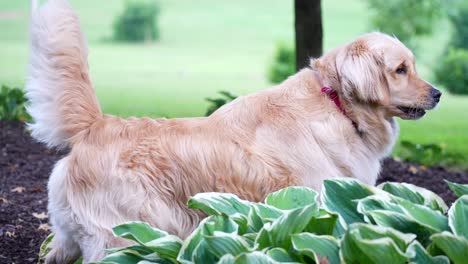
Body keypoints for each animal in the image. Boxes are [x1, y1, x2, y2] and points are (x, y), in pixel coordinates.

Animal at [27, 0, 440, 262]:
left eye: (412, 66)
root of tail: (98, 125)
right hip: (123, 237)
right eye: (401, 69)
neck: (337, 104)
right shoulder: (313, 209)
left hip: (72, 238)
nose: (437, 93)